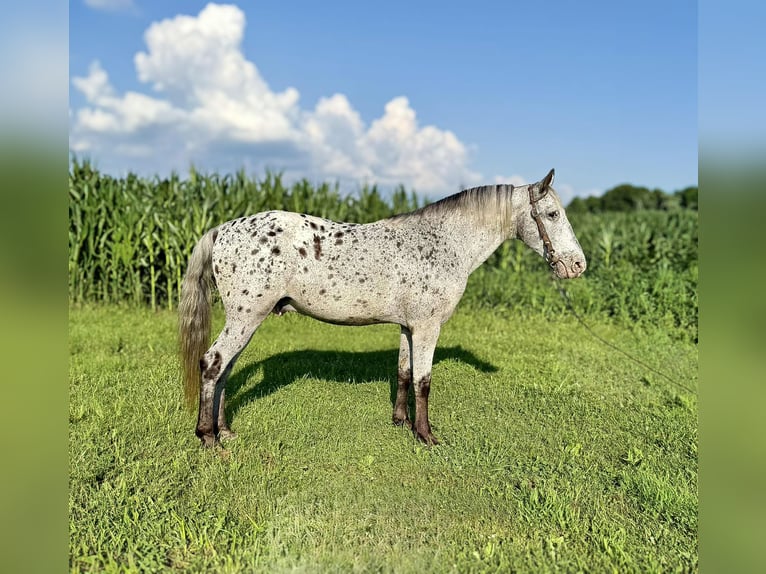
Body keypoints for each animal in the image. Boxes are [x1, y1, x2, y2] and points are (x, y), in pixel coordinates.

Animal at [179, 169, 586, 446]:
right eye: (552, 214)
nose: (577, 265)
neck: (443, 243)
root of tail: (222, 229)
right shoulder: (428, 327)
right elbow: (424, 381)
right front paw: (426, 436)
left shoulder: (408, 327)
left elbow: (404, 373)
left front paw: (401, 422)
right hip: (245, 318)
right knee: (213, 363)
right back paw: (208, 437)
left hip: (245, 320)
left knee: (225, 369)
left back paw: (225, 431)